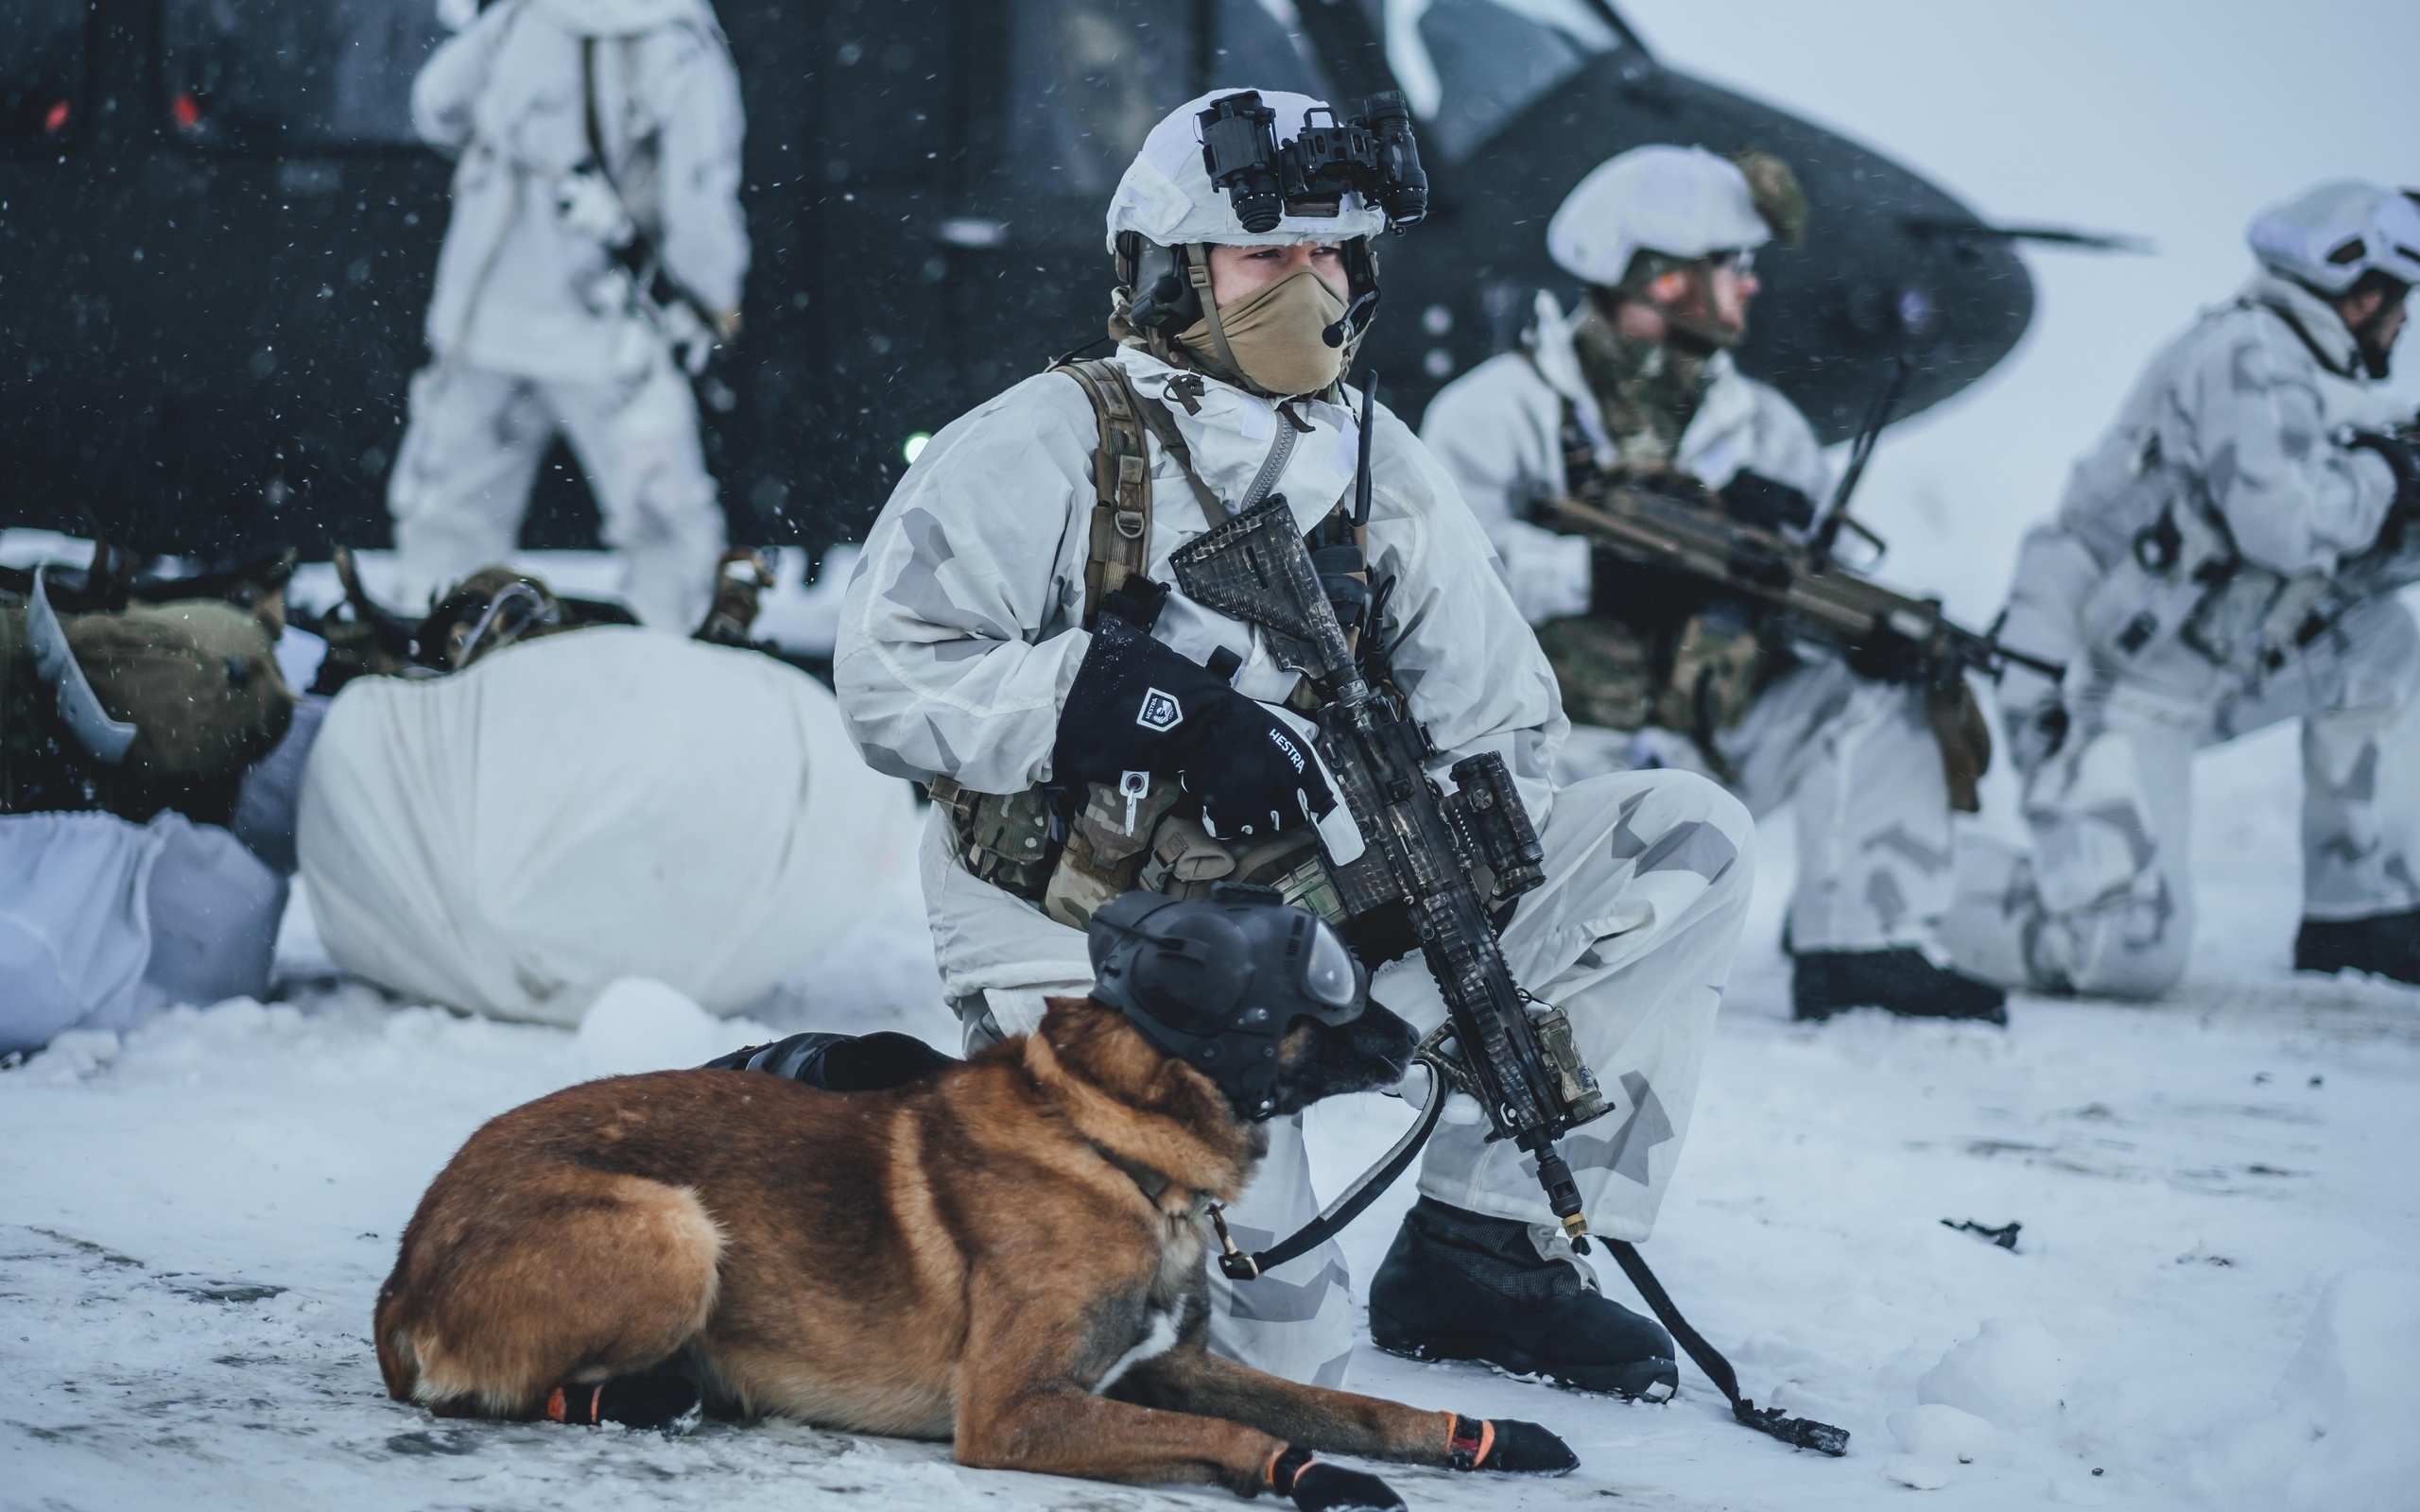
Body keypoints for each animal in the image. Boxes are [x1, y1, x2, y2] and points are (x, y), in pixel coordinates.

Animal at [374, 991, 1578, 1500]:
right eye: (1323, 991)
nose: (1417, 1037)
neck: (1111, 1144)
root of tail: (401, 1272)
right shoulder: (1014, 1412)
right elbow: (1248, 1437)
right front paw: (1319, 1481)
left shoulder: (1171, 1367)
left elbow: (1353, 1405)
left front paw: (1479, 1435)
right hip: (674, 1228)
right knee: (507, 1391)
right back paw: (653, 1392)